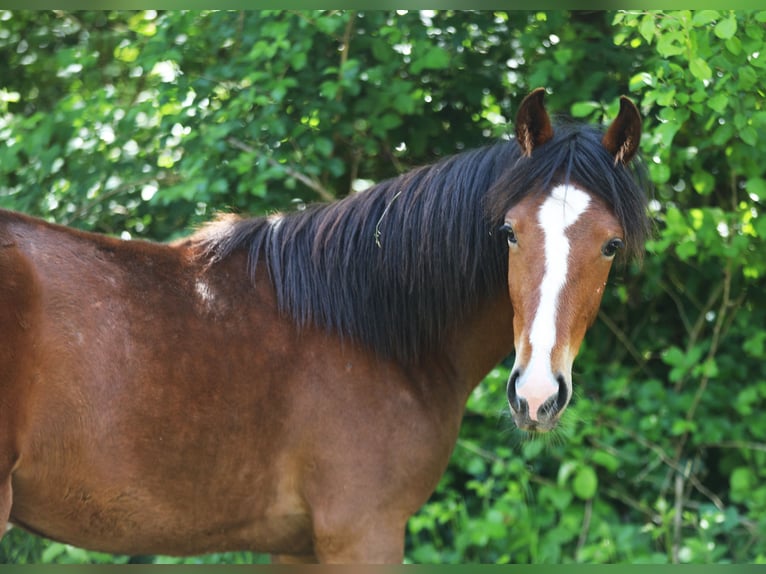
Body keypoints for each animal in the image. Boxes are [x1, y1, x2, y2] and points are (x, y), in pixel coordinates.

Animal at [0, 88, 649, 563]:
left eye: (611, 245)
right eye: (509, 232)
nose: (536, 395)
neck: (372, 330)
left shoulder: (297, 545)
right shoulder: (363, 533)